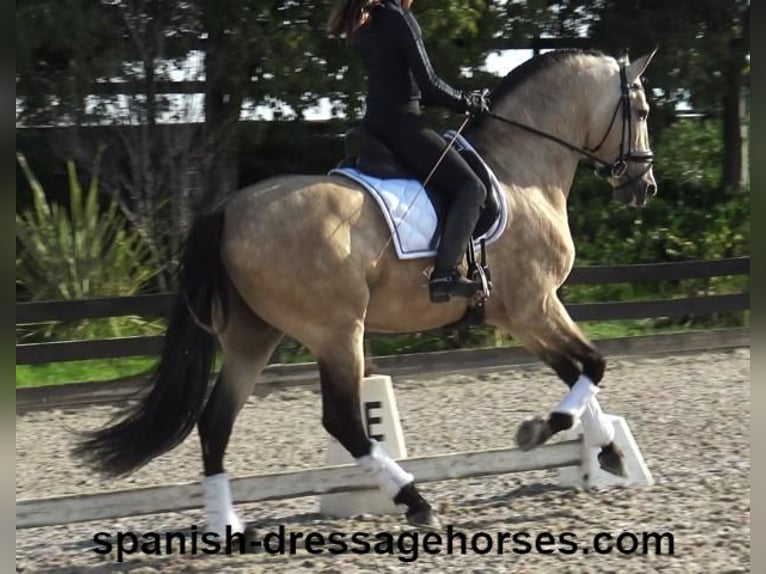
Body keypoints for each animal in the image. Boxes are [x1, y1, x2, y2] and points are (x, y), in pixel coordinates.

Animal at [73, 48, 660, 536]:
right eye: (642, 111)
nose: (643, 187)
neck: (522, 174)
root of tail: (228, 209)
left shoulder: (522, 315)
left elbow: (579, 371)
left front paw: (608, 451)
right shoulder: (533, 307)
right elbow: (593, 366)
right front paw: (543, 431)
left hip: (252, 337)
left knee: (216, 422)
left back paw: (225, 524)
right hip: (337, 332)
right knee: (344, 421)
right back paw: (414, 500)